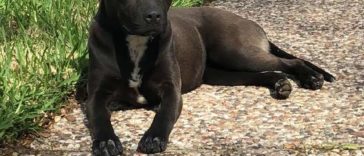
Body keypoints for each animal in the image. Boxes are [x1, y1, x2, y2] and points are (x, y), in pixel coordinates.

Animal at [86, 0, 336, 155]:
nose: (154, 16)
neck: (135, 42)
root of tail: (247, 21)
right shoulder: (96, 95)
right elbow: (98, 116)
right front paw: (106, 141)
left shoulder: (171, 89)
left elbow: (165, 114)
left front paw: (154, 137)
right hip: (221, 72)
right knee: (263, 73)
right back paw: (280, 83)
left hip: (235, 51)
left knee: (290, 62)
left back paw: (311, 77)